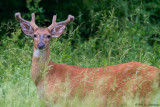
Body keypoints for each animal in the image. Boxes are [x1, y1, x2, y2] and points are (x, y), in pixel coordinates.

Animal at [15, 12, 160, 105]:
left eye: (49, 36)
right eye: (34, 35)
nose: (41, 45)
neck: (45, 76)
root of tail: (157, 72)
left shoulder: (61, 99)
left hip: (140, 95)